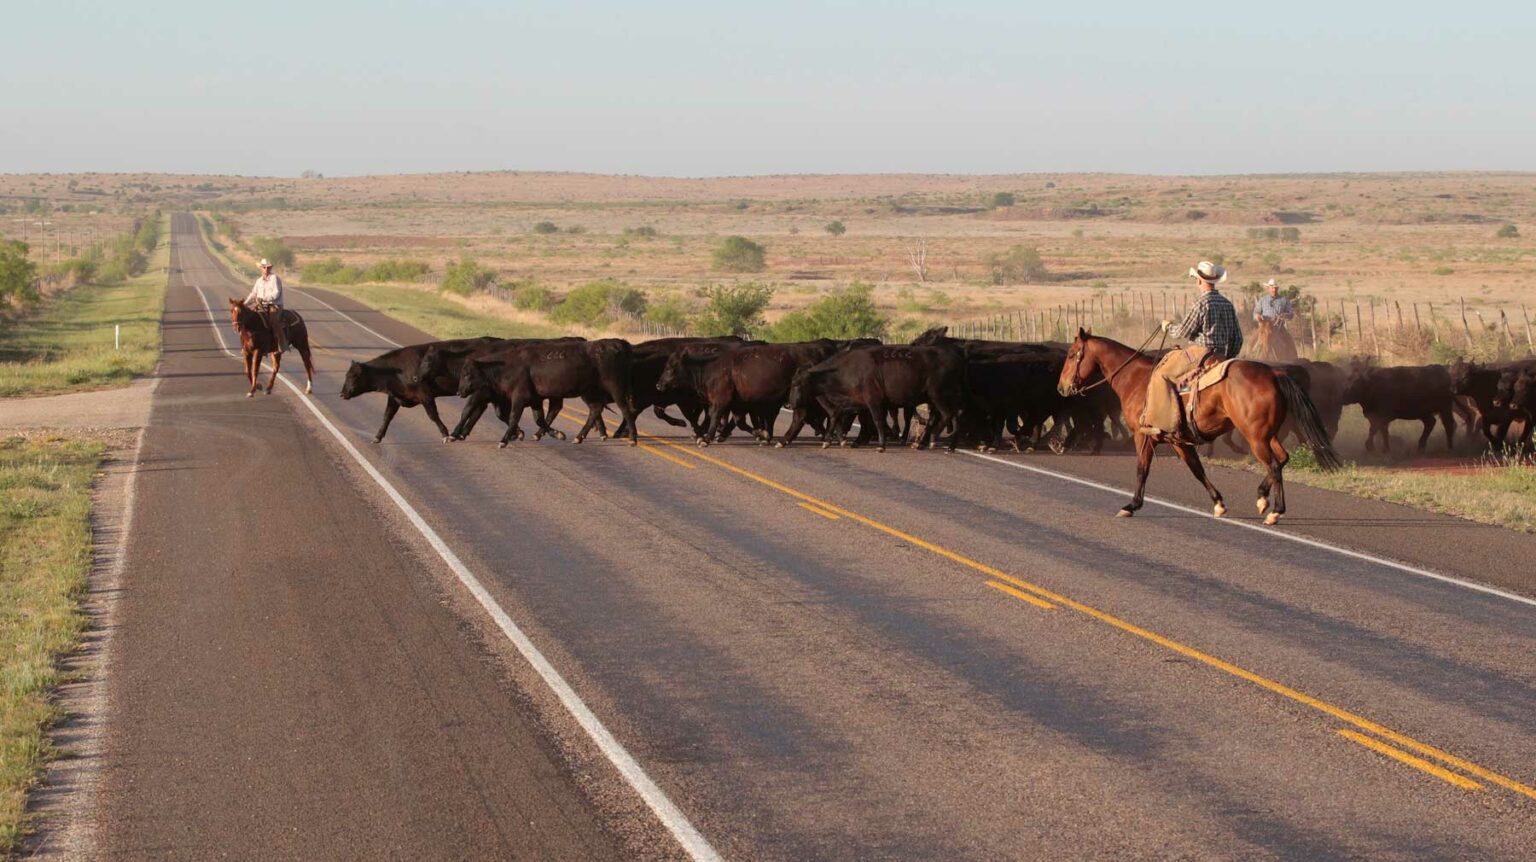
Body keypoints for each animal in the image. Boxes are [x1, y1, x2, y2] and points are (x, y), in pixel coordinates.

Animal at [340, 337, 506, 443]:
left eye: (353, 376)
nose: (342, 393)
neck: (396, 370)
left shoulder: (425, 395)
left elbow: (433, 415)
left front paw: (445, 434)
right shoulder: (395, 397)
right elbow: (387, 416)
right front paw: (377, 437)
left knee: (476, 408)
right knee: (483, 408)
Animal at [457, 339, 639, 446]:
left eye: (467, 374)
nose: (460, 392)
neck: (506, 365)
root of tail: (617, 343)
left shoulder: (519, 398)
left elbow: (514, 417)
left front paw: (504, 440)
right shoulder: (535, 400)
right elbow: (539, 419)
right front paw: (556, 434)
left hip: (615, 388)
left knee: (625, 409)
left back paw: (633, 439)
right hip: (589, 392)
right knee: (595, 409)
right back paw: (578, 437)